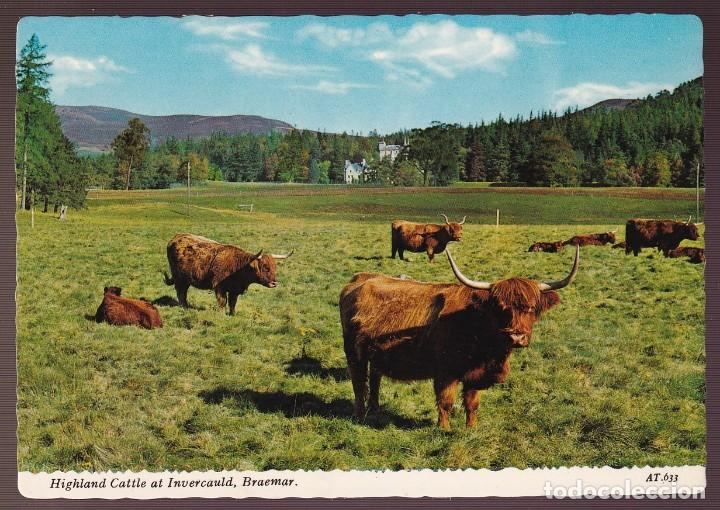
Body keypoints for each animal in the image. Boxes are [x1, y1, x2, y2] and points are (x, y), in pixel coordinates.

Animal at [163, 233, 293, 315]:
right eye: (265, 267)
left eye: (275, 267)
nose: (274, 283)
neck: (238, 267)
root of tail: (175, 238)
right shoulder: (219, 287)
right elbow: (222, 302)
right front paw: (221, 314)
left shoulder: (234, 290)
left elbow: (232, 303)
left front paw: (232, 314)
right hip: (179, 278)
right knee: (181, 293)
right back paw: (184, 308)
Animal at [340, 245, 579, 429]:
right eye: (500, 308)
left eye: (531, 309)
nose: (517, 337)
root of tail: (360, 279)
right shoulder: (445, 372)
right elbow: (446, 402)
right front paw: (444, 429)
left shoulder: (475, 375)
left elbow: (472, 403)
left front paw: (471, 429)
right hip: (353, 352)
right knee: (359, 382)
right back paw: (360, 416)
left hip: (375, 354)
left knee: (375, 379)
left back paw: (375, 410)